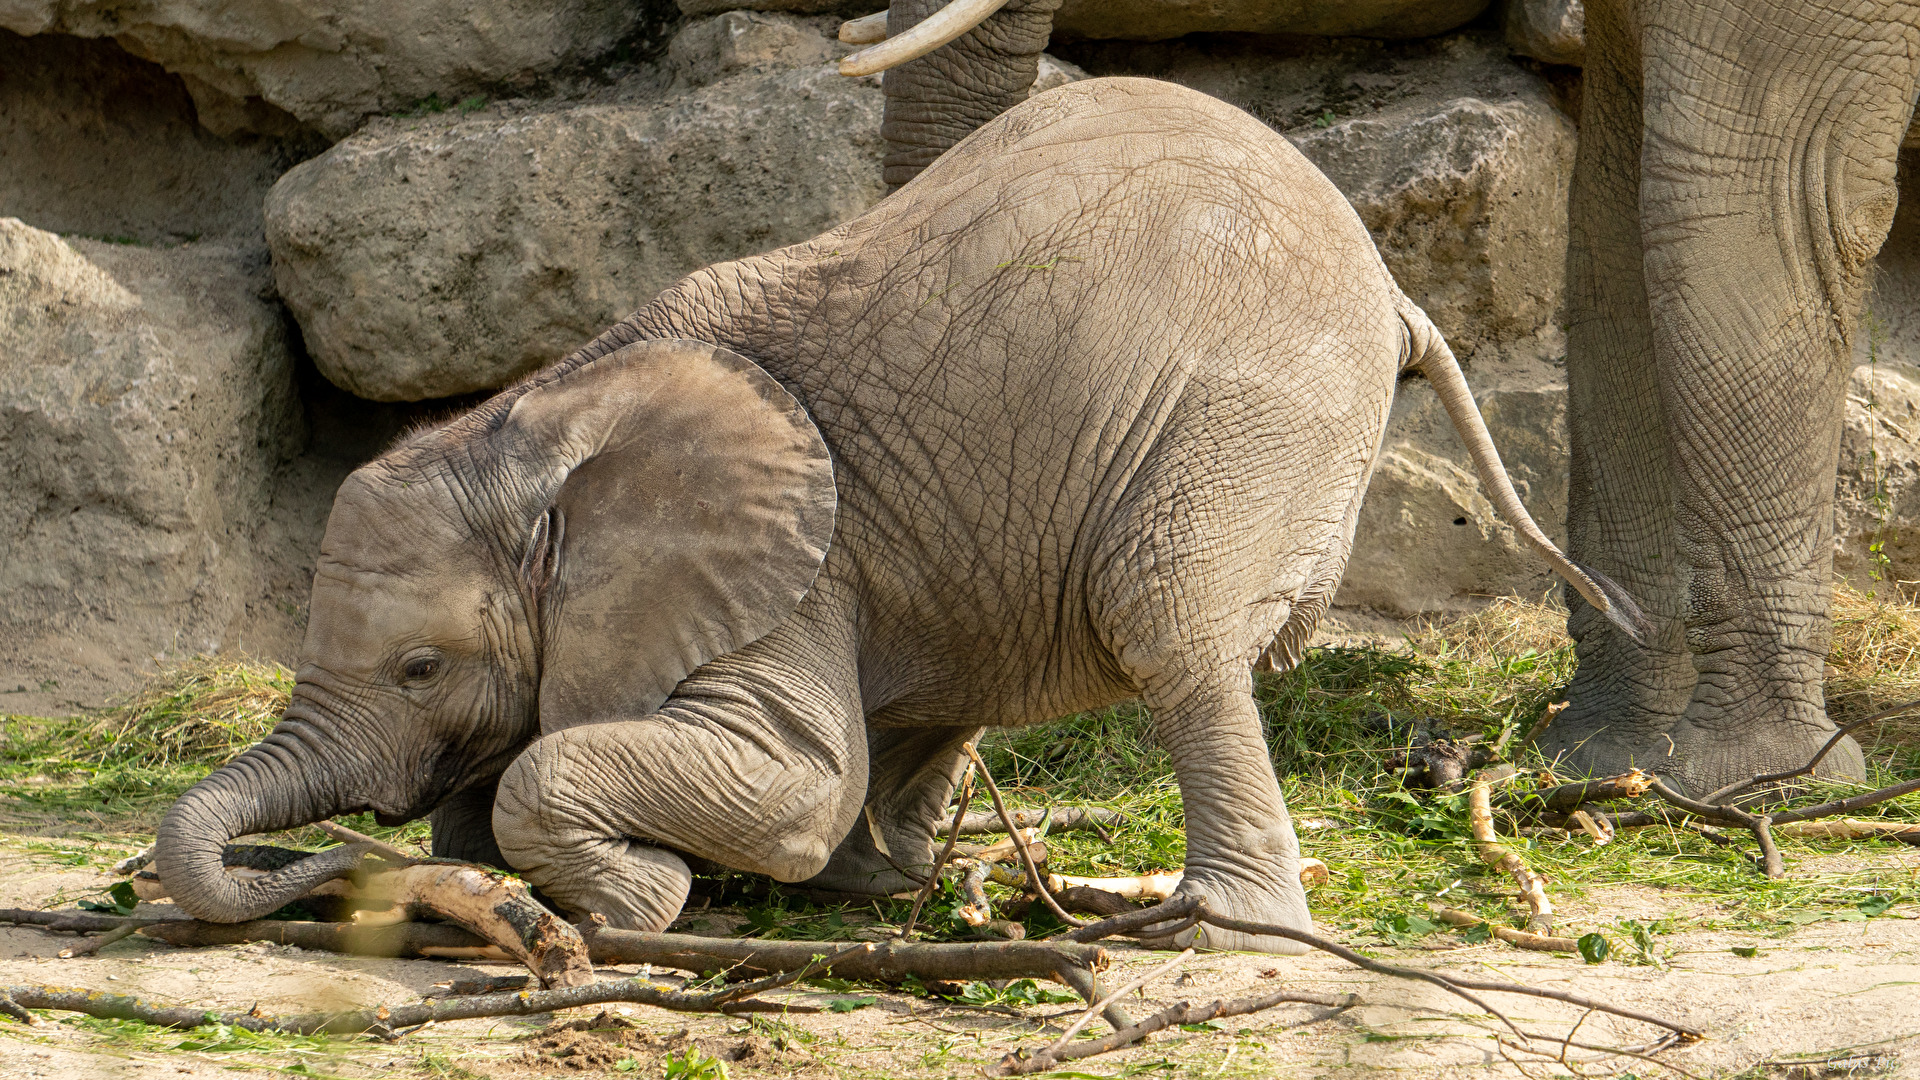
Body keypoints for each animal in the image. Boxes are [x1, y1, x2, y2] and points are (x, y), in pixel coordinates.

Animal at [157, 77, 1643, 949]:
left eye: (420, 669)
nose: (314, 873)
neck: (552, 413)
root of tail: (1394, 289)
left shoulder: (785, 582)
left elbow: (780, 783)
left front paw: (646, 899)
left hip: (1252, 418)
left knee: (1168, 625)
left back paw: (1214, 937)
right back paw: (888, 888)